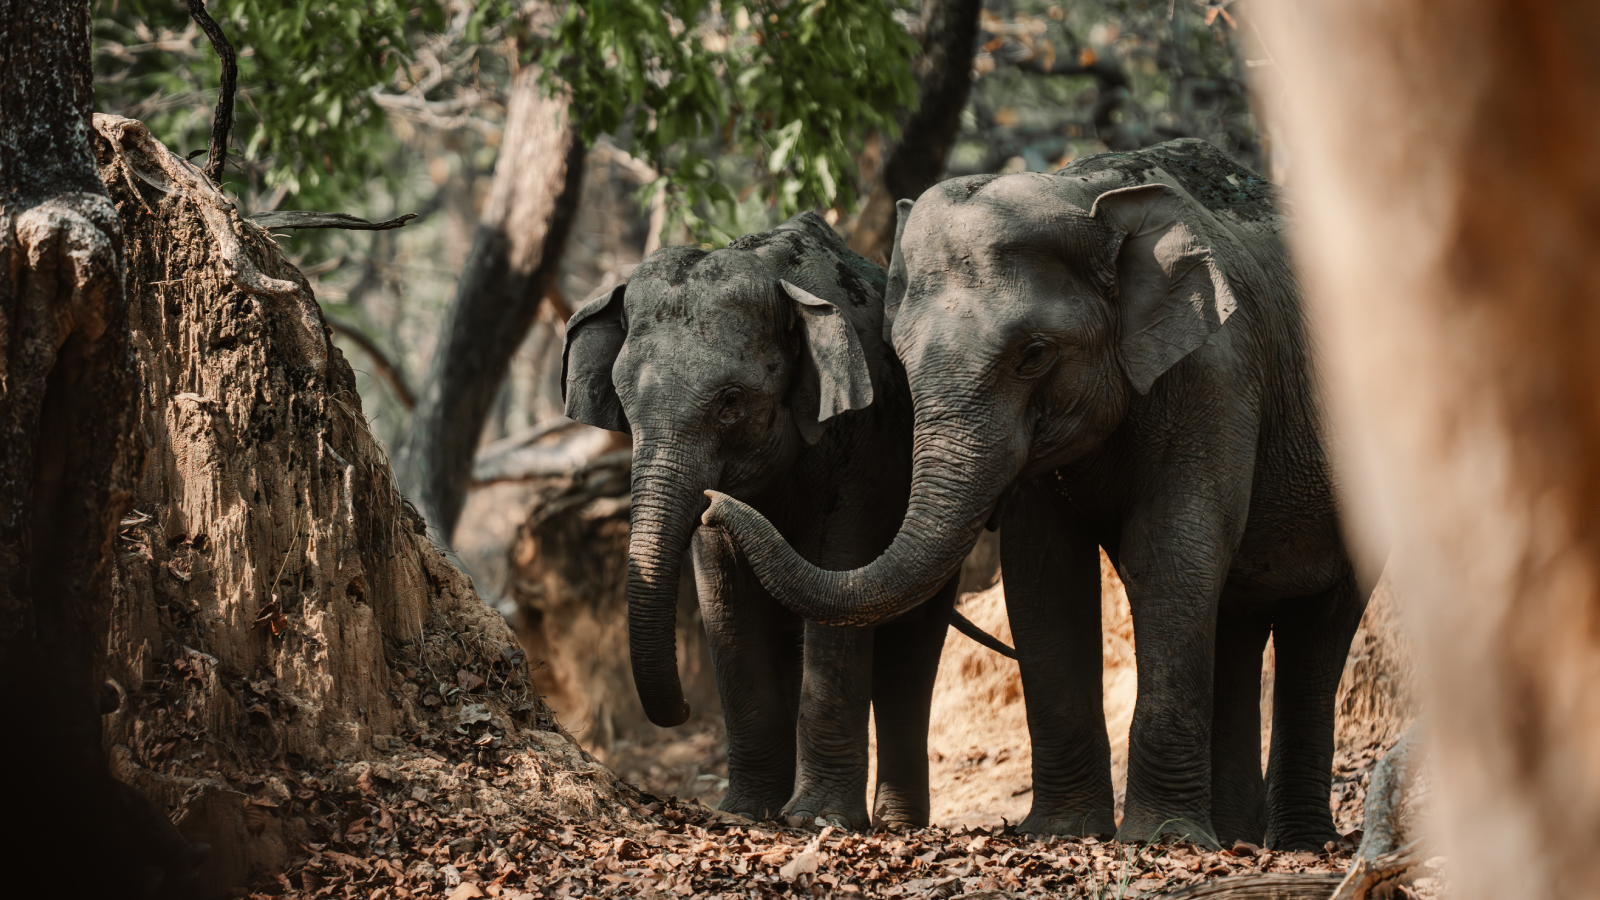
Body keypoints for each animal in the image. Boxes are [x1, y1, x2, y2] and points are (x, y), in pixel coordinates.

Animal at [561, 212, 962, 829]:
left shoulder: (865, 442)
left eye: (730, 400)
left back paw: (896, 825)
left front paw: (818, 820)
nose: (682, 709)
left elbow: (841, 570)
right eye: (624, 406)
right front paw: (744, 814)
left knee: (911, 643)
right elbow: (726, 598)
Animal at [703, 139, 1370, 850]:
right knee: (1238, 619)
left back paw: (1294, 842)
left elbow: (1173, 554)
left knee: (1316, 633)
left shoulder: (1217, 372)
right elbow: (1043, 573)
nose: (713, 503)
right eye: (898, 359)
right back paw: (1241, 835)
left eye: (1034, 354)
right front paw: (1064, 833)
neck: (1086, 193)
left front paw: (1158, 840)